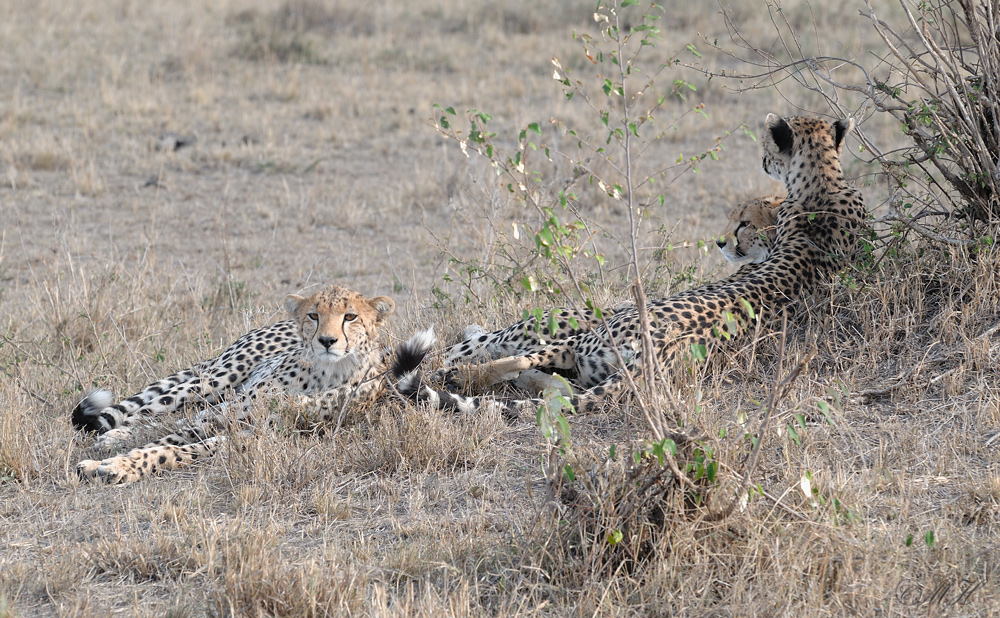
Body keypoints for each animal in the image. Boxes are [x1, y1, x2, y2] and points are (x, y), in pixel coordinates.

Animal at [402, 115, 864, 414]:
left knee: (498, 360)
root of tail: (658, 353)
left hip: (576, 339)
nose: (719, 242)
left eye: (742, 222)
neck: (824, 184)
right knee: (547, 385)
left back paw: (462, 374)